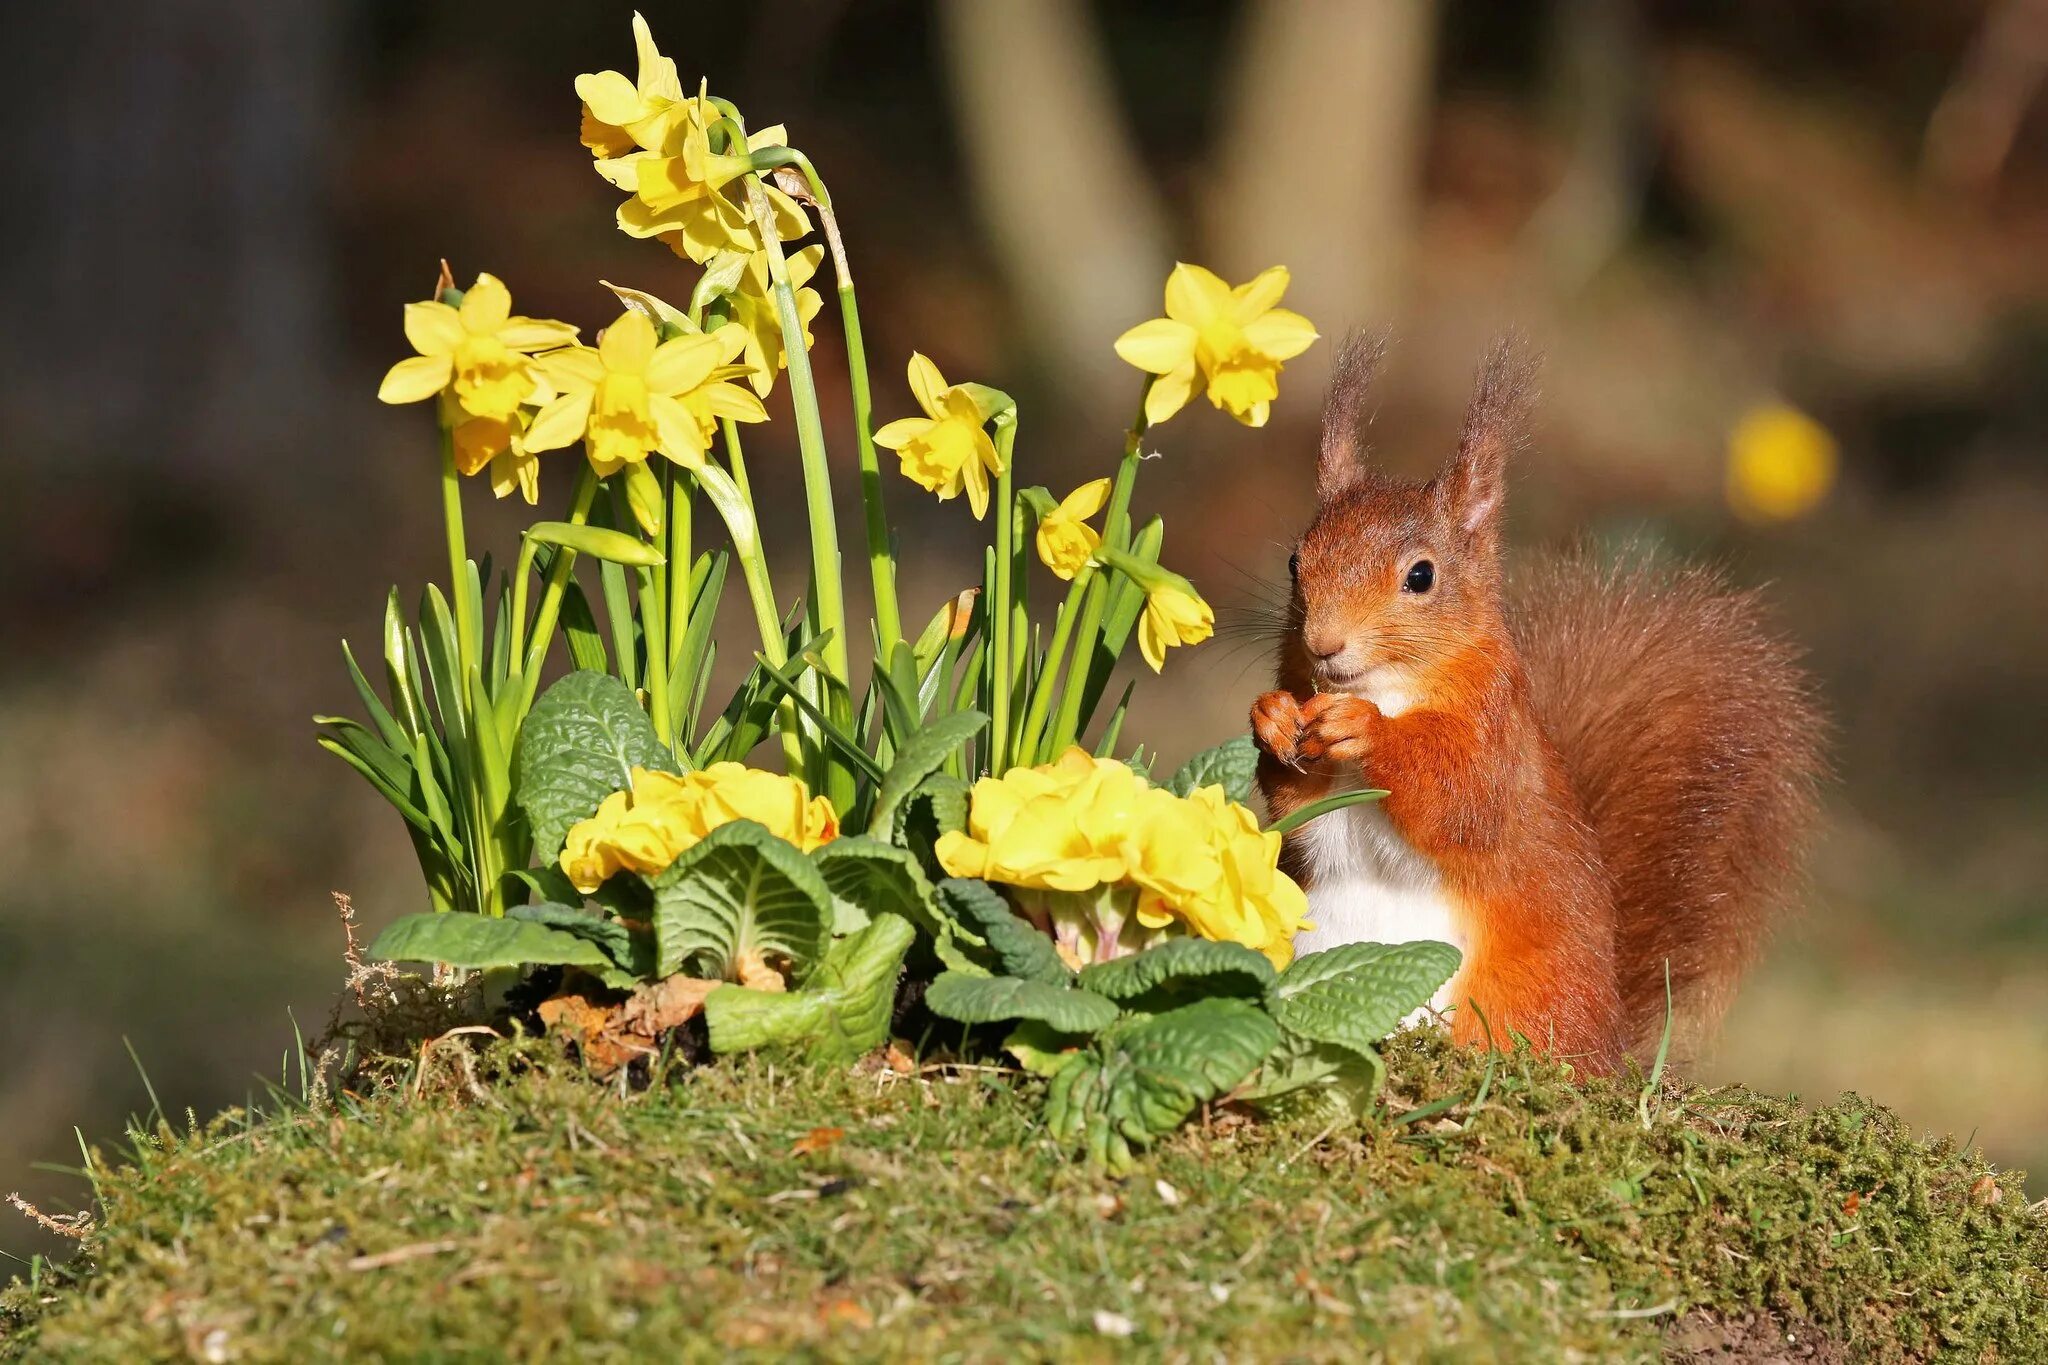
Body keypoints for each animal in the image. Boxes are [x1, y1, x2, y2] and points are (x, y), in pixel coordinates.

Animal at [1245, 335, 1826, 1072]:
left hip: (1520, 1001)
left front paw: (1366, 730)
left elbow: (1464, 800)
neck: (1385, 685)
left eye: (1421, 575)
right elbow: (1292, 805)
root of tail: (1612, 1044)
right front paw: (1272, 718)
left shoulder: (1498, 727)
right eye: (1296, 562)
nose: (1323, 643)